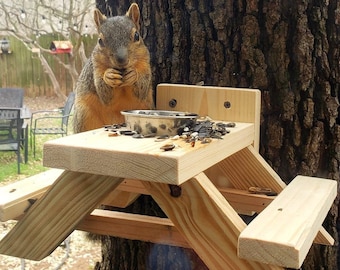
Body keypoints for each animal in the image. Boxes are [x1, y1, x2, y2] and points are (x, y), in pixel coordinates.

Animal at [74, 3, 155, 133]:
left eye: (137, 36)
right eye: (100, 41)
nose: (121, 59)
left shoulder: (145, 64)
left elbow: (141, 89)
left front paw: (133, 74)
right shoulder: (96, 67)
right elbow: (105, 95)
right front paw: (109, 76)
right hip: (84, 115)